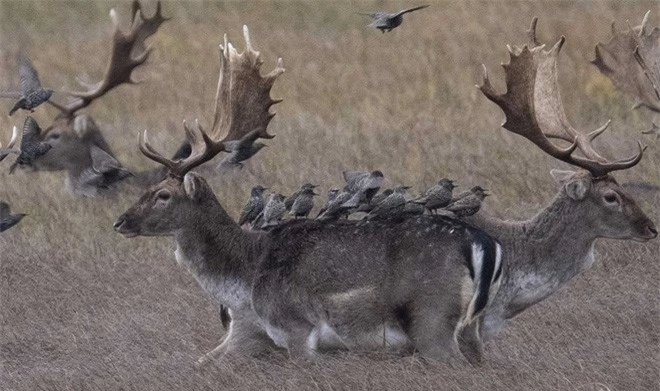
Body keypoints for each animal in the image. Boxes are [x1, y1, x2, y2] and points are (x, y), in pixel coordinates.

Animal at [116, 26, 502, 366]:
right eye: (146, 190)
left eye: (163, 195)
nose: (120, 221)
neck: (245, 276)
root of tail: (484, 243)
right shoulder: (247, 331)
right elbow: (199, 363)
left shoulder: (295, 328)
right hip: (472, 326)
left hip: (431, 318)